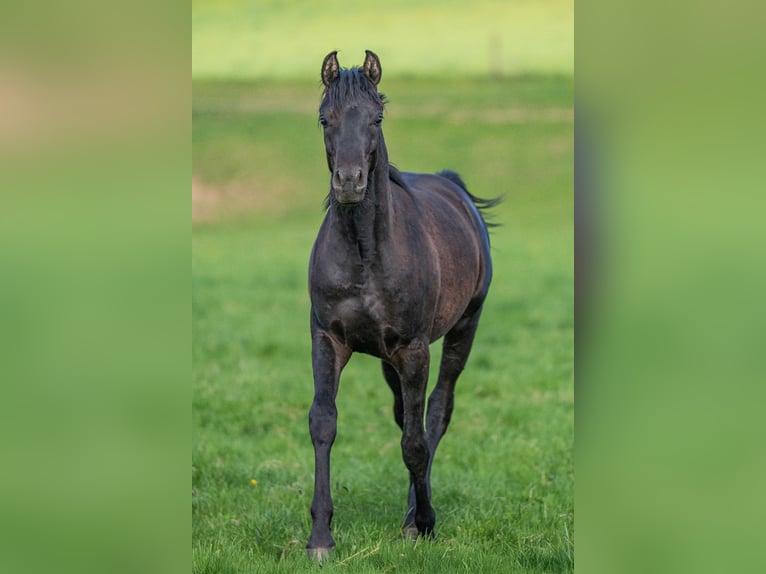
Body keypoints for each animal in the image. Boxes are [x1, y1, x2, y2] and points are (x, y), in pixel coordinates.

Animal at [307, 50, 499, 560]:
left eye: (377, 118)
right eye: (325, 118)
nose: (349, 182)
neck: (366, 253)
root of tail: (454, 187)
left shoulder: (414, 349)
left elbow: (416, 441)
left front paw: (424, 523)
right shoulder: (327, 339)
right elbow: (324, 422)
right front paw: (320, 537)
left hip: (462, 329)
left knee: (435, 414)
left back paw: (415, 516)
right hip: (386, 359)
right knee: (404, 416)